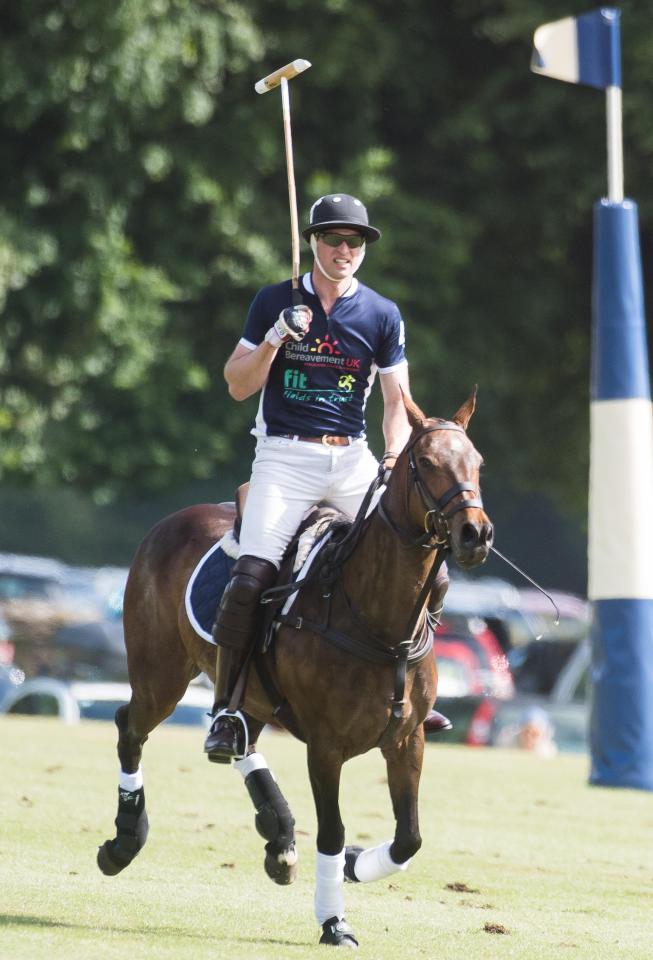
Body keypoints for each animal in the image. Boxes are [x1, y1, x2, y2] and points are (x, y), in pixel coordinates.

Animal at [97, 390, 492, 944]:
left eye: (477, 463)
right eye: (428, 463)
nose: (476, 533)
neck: (378, 620)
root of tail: (168, 522)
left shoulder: (407, 739)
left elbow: (408, 838)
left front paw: (353, 864)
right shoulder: (325, 746)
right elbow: (332, 830)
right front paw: (334, 921)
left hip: (247, 691)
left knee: (239, 736)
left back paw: (278, 835)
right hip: (161, 673)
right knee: (131, 725)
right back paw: (124, 842)